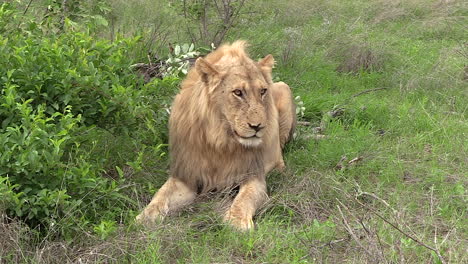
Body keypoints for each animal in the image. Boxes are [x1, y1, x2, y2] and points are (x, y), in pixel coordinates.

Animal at [136, 40, 296, 230]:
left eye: (263, 91)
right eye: (238, 92)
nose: (258, 127)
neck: (220, 140)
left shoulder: (253, 175)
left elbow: (245, 198)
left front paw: (236, 222)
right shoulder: (186, 176)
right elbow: (160, 196)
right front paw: (143, 218)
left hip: (284, 88)